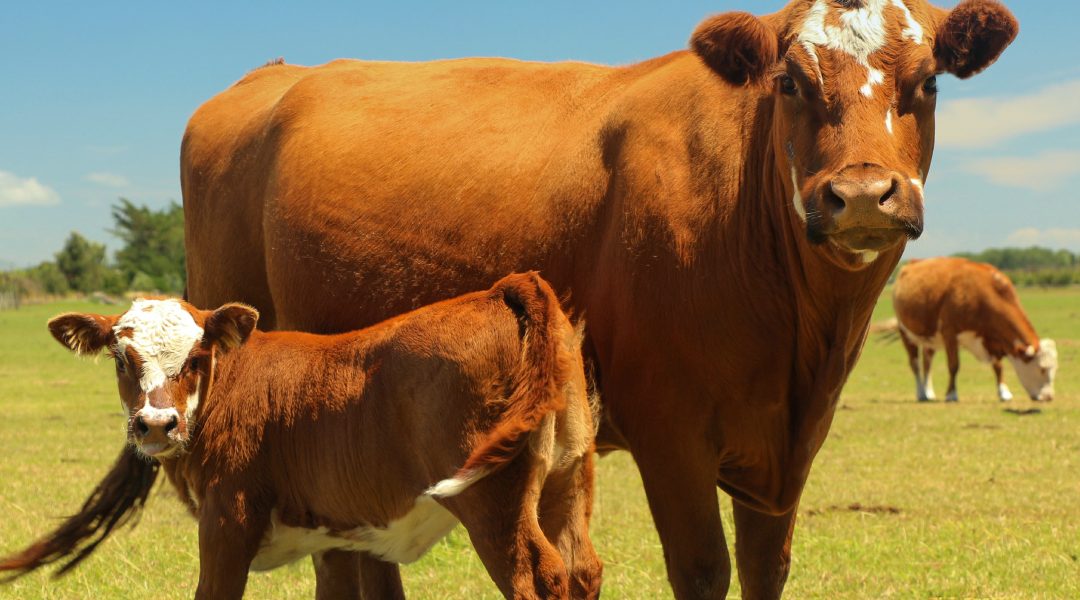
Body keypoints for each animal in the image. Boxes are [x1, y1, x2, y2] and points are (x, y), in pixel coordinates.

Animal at [0, 273, 602, 600]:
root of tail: (501, 290)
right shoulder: (338, 537)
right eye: (122, 359)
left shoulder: (228, 522)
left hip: (493, 504)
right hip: (567, 480)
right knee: (582, 570)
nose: (155, 424)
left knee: (539, 578)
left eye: (196, 358)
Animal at [179, 1, 1017, 597]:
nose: (863, 196)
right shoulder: (670, 430)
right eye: (789, 82)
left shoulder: (789, 447)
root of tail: (275, 77)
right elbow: (703, 569)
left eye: (929, 82)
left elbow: (765, 569)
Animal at [886, 257, 1057, 403]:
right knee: (915, 364)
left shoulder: (992, 338)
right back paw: (921, 393)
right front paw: (951, 394)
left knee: (927, 362)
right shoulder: (950, 334)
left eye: (1054, 369)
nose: (1048, 397)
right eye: (1041, 369)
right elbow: (954, 366)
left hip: (930, 338)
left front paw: (1004, 392)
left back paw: (929, 393)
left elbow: (998, 366)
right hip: (905, 333)